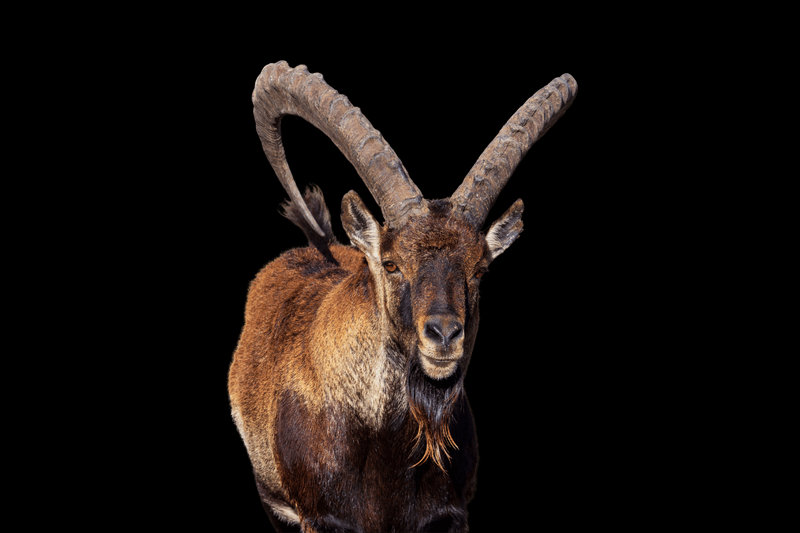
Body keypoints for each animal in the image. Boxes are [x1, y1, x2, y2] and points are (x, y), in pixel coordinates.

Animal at [228, 61, 576, 532]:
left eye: (479, 269)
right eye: (391, 264)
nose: (444, 335)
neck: (386, 449)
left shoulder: (450, 515)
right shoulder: (319, 517)